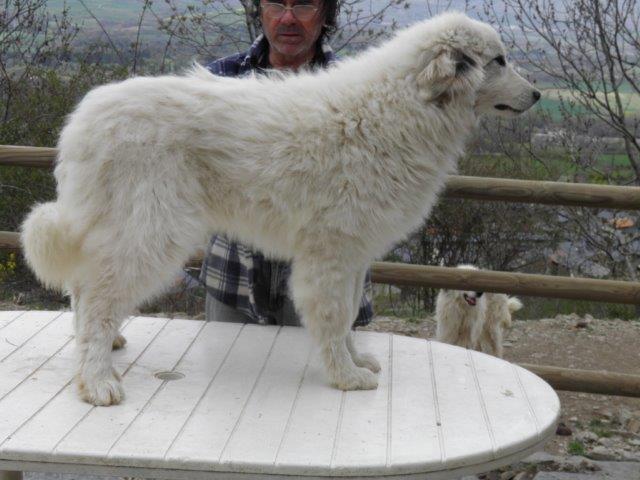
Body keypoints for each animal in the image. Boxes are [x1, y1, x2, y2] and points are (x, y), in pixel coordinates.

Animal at [21, 12, 540, 404]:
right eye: (498, 60)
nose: (536, 94)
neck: (403, 106)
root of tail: (84, 119)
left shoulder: (354, 254)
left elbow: (349, 318)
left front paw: (356, 361)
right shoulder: (331, 254)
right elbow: (335, 317)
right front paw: (346, 377)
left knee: (84, 287)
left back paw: (103, 348)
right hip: (151, 229)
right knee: (99, 296)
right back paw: (97, 380)